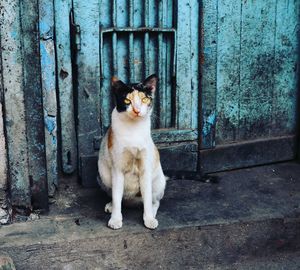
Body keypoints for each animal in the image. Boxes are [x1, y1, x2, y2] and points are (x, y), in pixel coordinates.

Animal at [97, 74, 166, 230]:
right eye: (127, 101)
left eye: (144, 99)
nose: (136, 110)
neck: (134, 129)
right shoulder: (117, 168)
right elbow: (117, 196)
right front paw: (115, 220)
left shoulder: (145, 168)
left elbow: (147, 199)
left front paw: (149, 219)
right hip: (104, 175)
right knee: (117, 196)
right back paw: (111, 206)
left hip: (158, 181)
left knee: (155, 201)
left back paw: (152, 213)